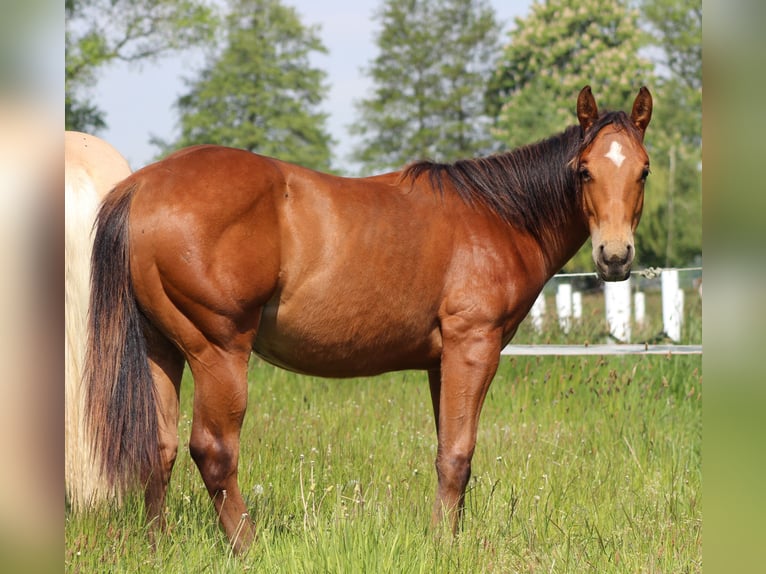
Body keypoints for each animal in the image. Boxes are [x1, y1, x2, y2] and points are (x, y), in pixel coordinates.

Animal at [85, 85, 652, 552]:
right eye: (584, 170)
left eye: (643, 169)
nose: (615, 256)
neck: (498, 217)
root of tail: (141, 187)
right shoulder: (473, 349)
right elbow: (458, 454)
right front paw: (444, 547)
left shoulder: (441, 363)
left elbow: (448, 452)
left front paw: (448, 536)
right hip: (218, 353)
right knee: (213, 450)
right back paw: (248, 547)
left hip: (162, 349)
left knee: (159, 449)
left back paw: (158, 547)